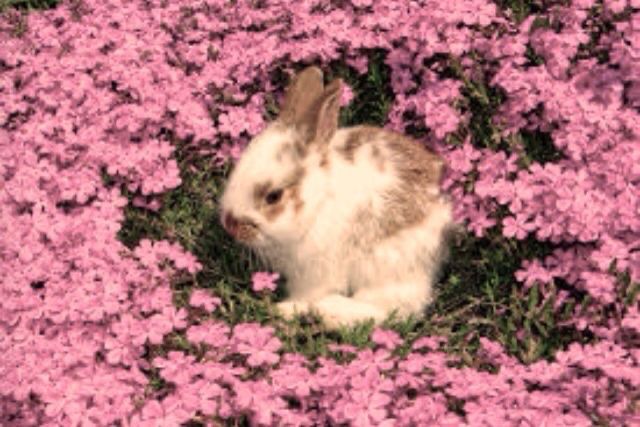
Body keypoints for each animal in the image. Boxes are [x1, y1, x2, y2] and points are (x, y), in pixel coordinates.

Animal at [222, 66, 452, 328]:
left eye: (273, 196)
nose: (229, 225)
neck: (319, 202)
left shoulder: (314, 275)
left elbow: (307, 296)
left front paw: (284, 309)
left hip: (385, 267)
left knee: (393, 309)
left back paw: (331, 311)